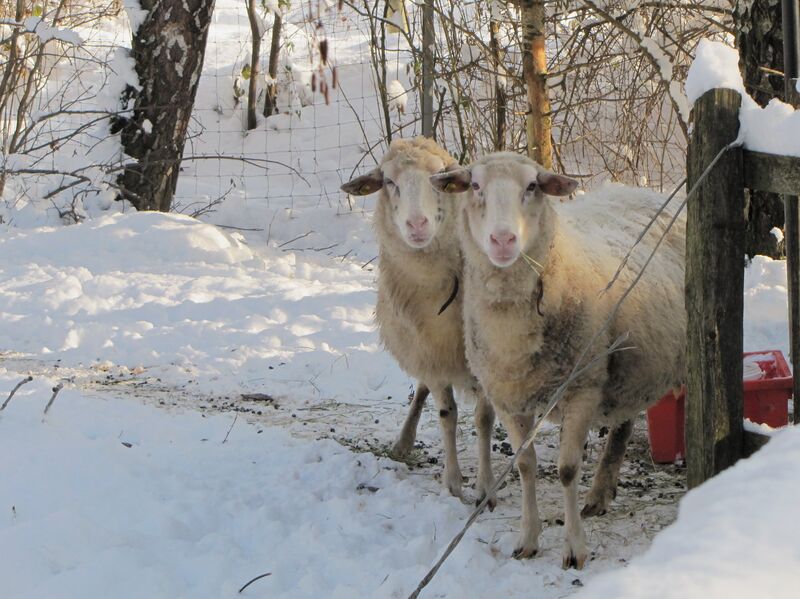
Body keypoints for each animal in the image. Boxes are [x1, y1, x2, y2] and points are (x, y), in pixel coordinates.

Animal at [341, 137, 497, 504]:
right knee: (423, 389)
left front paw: (485, 487)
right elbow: (447, 415)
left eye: (438, 180)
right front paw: (453, 483)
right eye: (388, 181)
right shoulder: (433, 353)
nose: (417, 225)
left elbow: (484, 418)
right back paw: (403, 442)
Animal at [429, 152, 685, 569]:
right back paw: (599, 494)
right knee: (623, 426)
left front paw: (574, 549)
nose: (503, 240)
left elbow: (566, 470)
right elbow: (525, 466)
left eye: (532, 186)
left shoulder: (582, 388)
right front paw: (528, 539)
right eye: (475, 185)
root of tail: (645, 192)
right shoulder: (509, 398)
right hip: (628, 368)